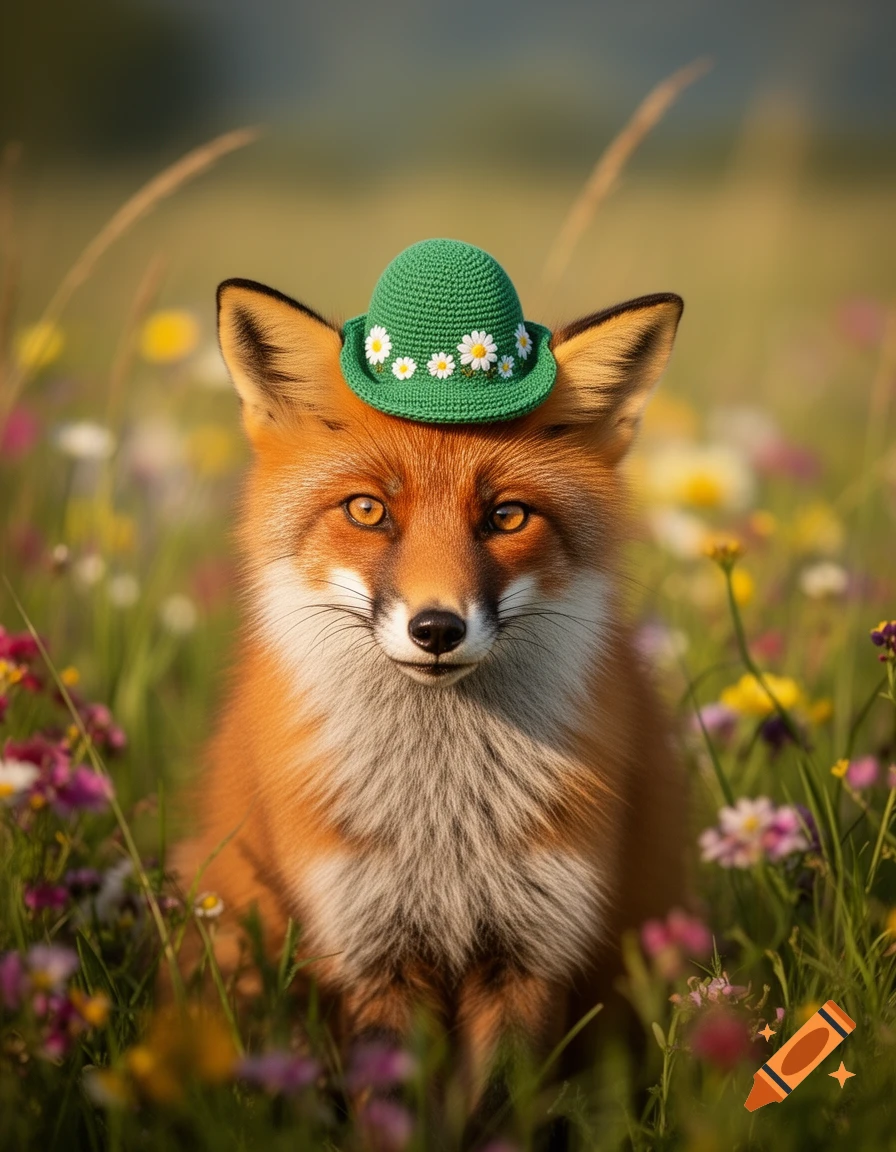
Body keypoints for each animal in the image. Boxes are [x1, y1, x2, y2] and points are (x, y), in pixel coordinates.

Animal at [170, 262, 690, 1122]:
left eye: (506, 516)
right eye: (368, 510)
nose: (437, 629)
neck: (442, 822)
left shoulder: (531, 945)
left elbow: (499, 1109)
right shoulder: (370, 946)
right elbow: (394, 1108)